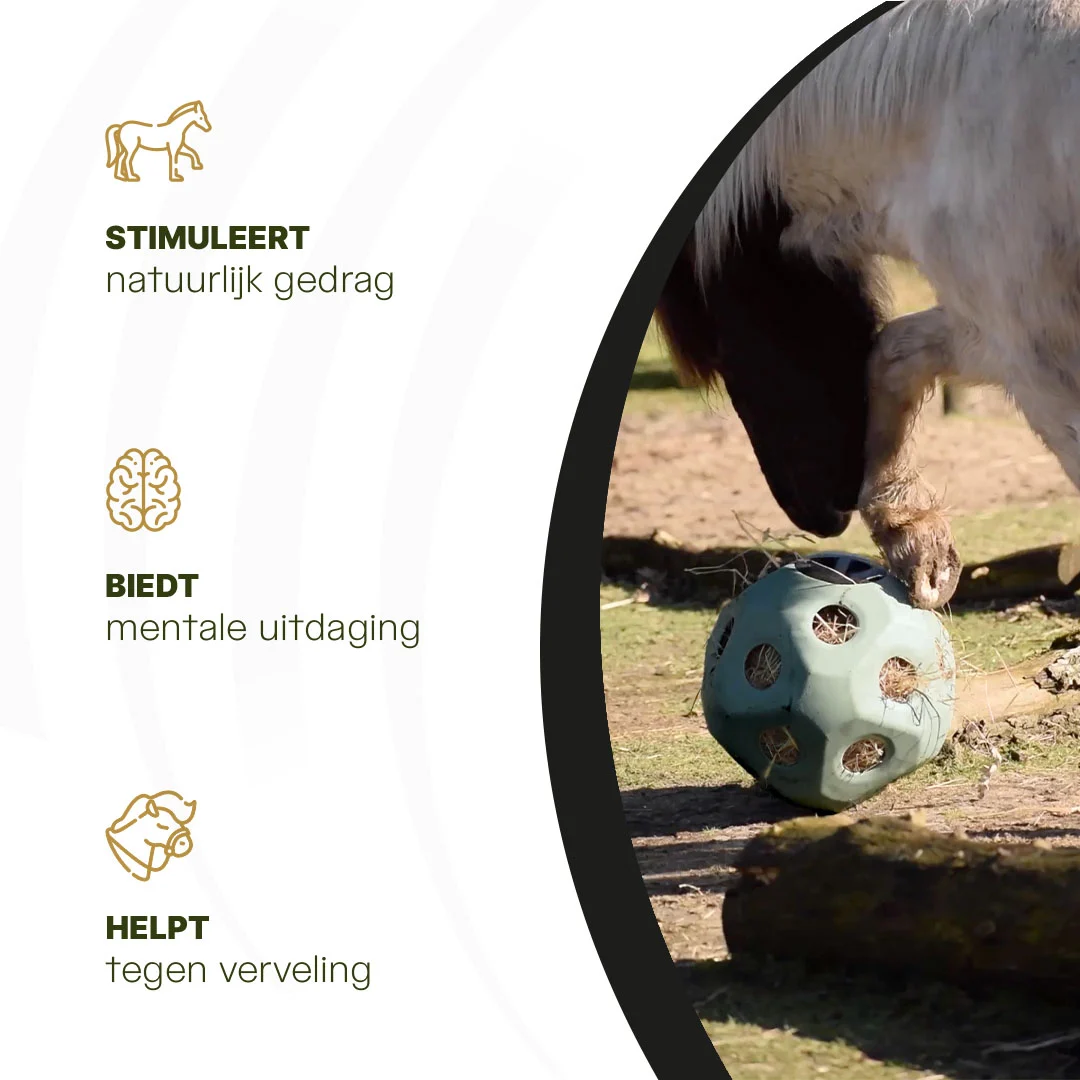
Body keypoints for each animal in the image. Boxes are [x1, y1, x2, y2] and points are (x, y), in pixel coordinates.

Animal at [656, 0, 1080, 610]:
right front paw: (913, 537)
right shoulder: (992, 326)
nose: (820, 514)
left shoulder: (1037, 350)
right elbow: (892, 354)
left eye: (720, 346)